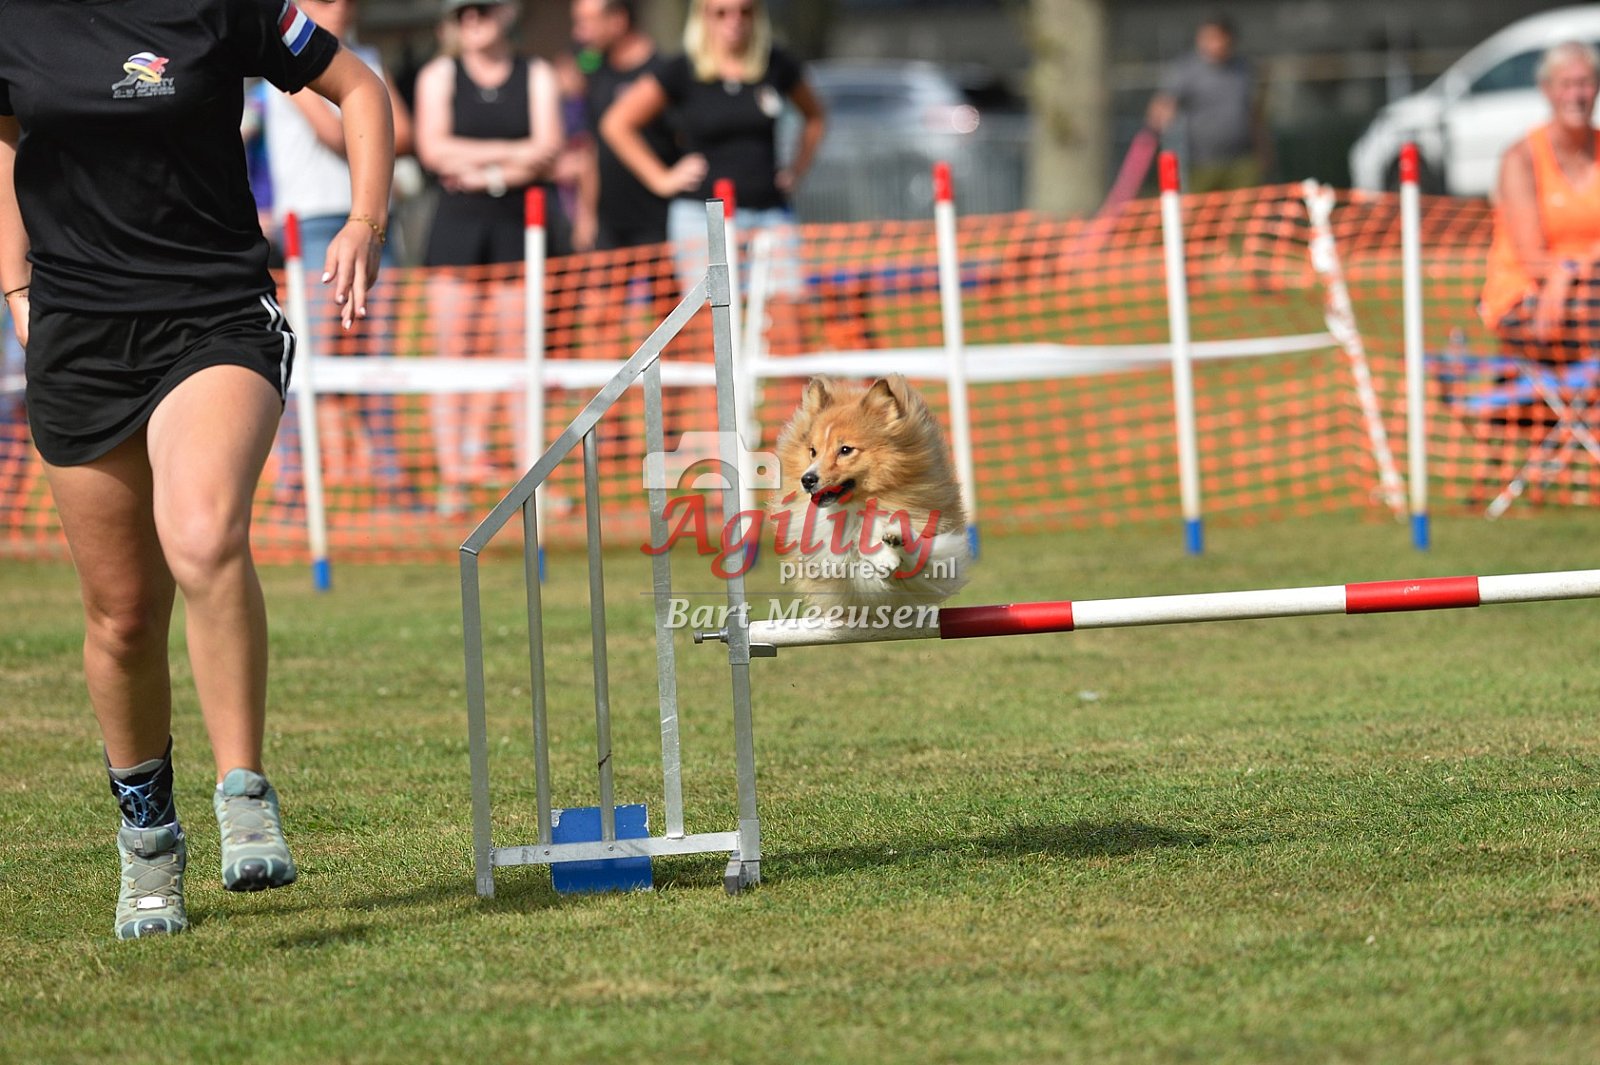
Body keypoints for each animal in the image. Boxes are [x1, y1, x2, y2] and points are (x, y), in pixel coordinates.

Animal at [772, 374, 970, 609]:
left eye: (845, 450)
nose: (807, 480)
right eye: (813, 451)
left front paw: (894, 539)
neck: (859, 503)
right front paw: (882, 555)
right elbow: (850, 541)